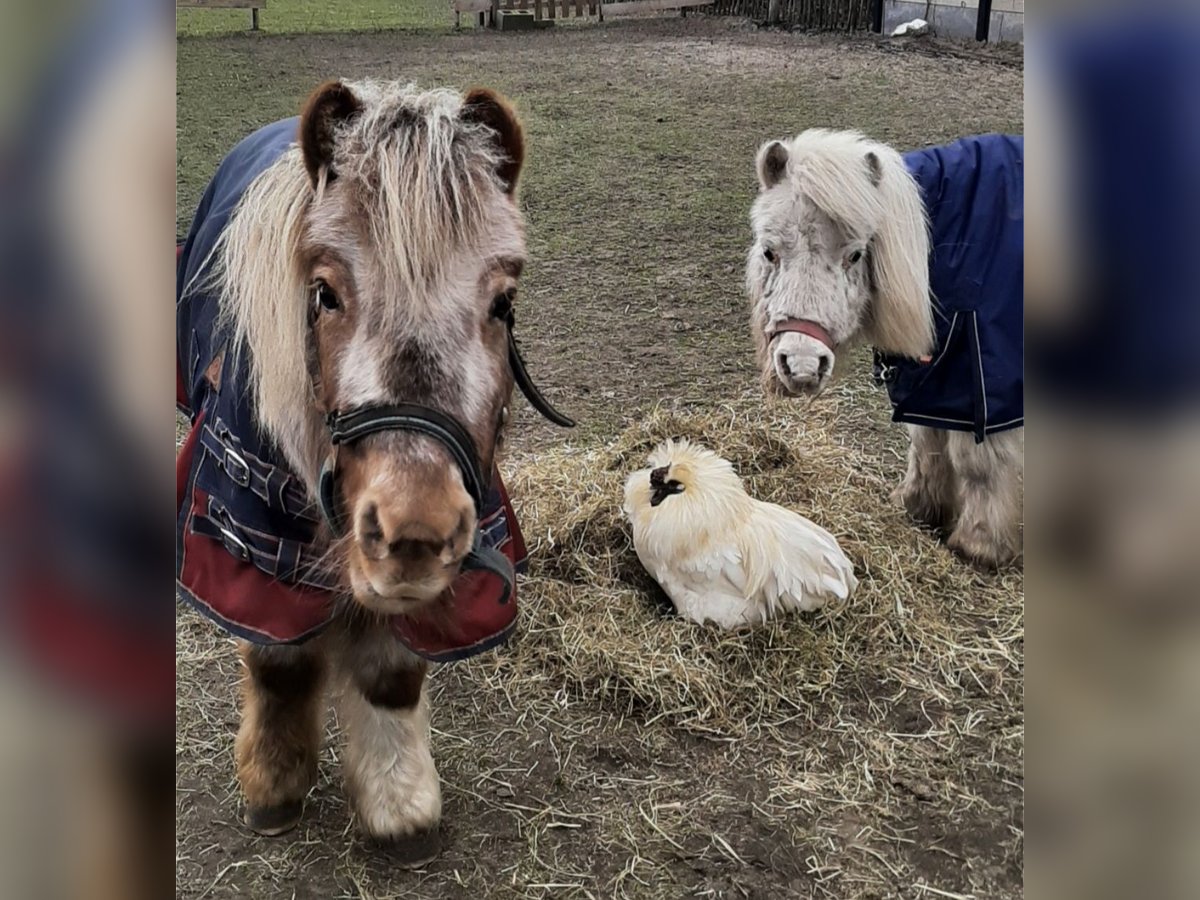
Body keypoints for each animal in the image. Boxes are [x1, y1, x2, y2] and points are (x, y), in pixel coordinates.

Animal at [748, 130, 1022, 571]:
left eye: (855, 254)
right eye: (769, 251)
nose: (802, 367)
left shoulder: (983, 378)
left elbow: (975, 459)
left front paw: (978, 544)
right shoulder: (935, 376)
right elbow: (926, 438)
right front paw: (918, 507)